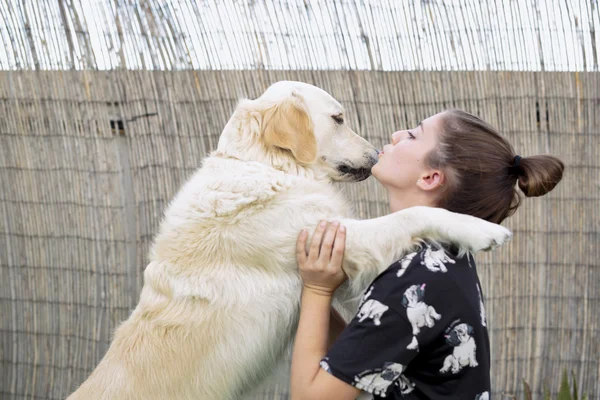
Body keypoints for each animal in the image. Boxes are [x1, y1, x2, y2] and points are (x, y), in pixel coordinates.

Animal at [70, 79, 510, 398]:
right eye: (338, 118)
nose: (377, 155)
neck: (269, 165)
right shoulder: (341, 238)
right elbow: (413, 213)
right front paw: (480, 229)